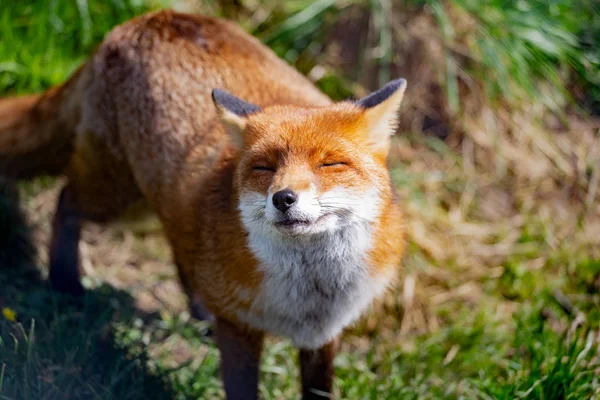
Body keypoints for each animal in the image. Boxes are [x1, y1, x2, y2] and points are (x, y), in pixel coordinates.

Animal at [0, 9, 408, 400]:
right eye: (264, 167)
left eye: (330, 164)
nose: (283, 198)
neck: (309, 294)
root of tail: (145, 19)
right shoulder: (239, 327)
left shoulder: (324, 334)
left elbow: (318, 389)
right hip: (117, 197)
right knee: (65, 199)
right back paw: (65, 282)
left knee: (177, 245)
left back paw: (198, 309)